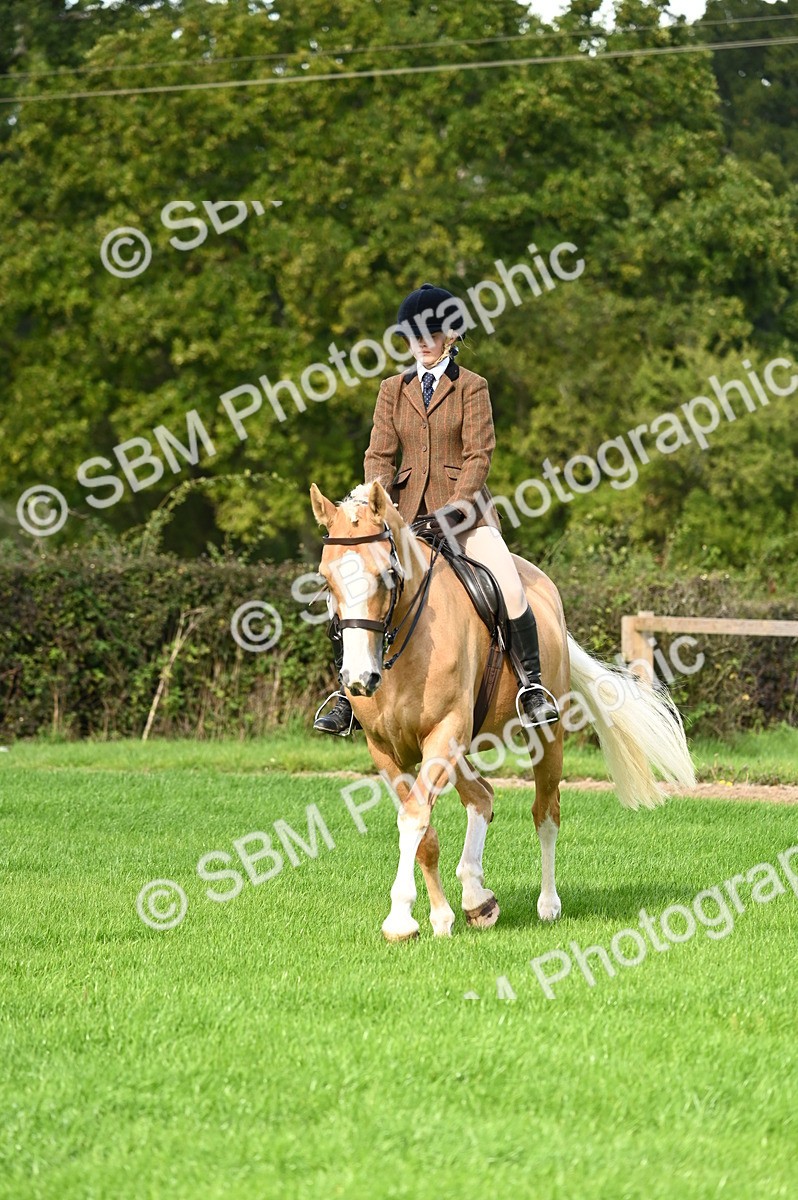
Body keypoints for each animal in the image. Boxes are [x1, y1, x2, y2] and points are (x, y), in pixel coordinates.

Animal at [310, 480, 696, 941]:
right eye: (326, 580)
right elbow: (423, 830)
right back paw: (476, 898)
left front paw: (401, 918)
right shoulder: (386, 749)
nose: (358, 679)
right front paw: (439, 918)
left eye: (386, 574)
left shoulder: (444, 732)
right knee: (482, 796)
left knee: (545, 813)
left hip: (544, 736)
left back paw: (547, 905)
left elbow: (414, 818)